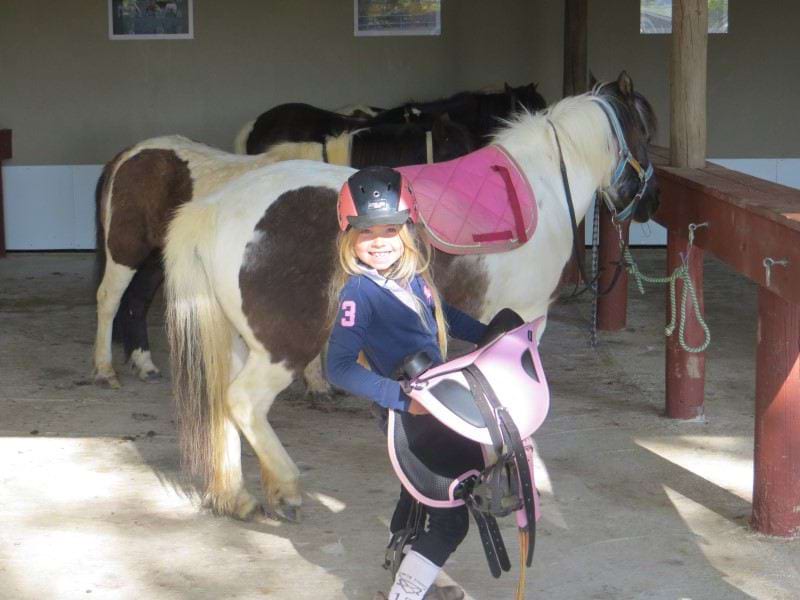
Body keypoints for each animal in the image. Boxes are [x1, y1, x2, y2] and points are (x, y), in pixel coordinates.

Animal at [164, 71, 664, 520]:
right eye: (646, 133)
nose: (653, 203)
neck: (540, 190)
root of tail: (219, 208)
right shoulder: (525, 318)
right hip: (281, 348)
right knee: (244, 402)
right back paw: (285, 489)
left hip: (236, 343)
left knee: (223, 409)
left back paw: (239, 497)